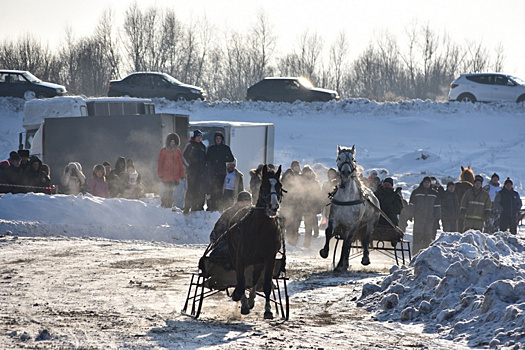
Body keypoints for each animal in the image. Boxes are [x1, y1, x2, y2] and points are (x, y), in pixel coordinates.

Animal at [226, 165, 282, 318]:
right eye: (264, 186)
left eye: (280, 186)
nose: (274, 206)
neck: (260, 230)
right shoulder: (240, 258)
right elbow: (240, 282)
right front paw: (239, 297)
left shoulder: (269, 258)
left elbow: (266, 284)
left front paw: (268, 309)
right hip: (234, 253)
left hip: (258, 262)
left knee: (255, 277)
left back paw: (251, 299)